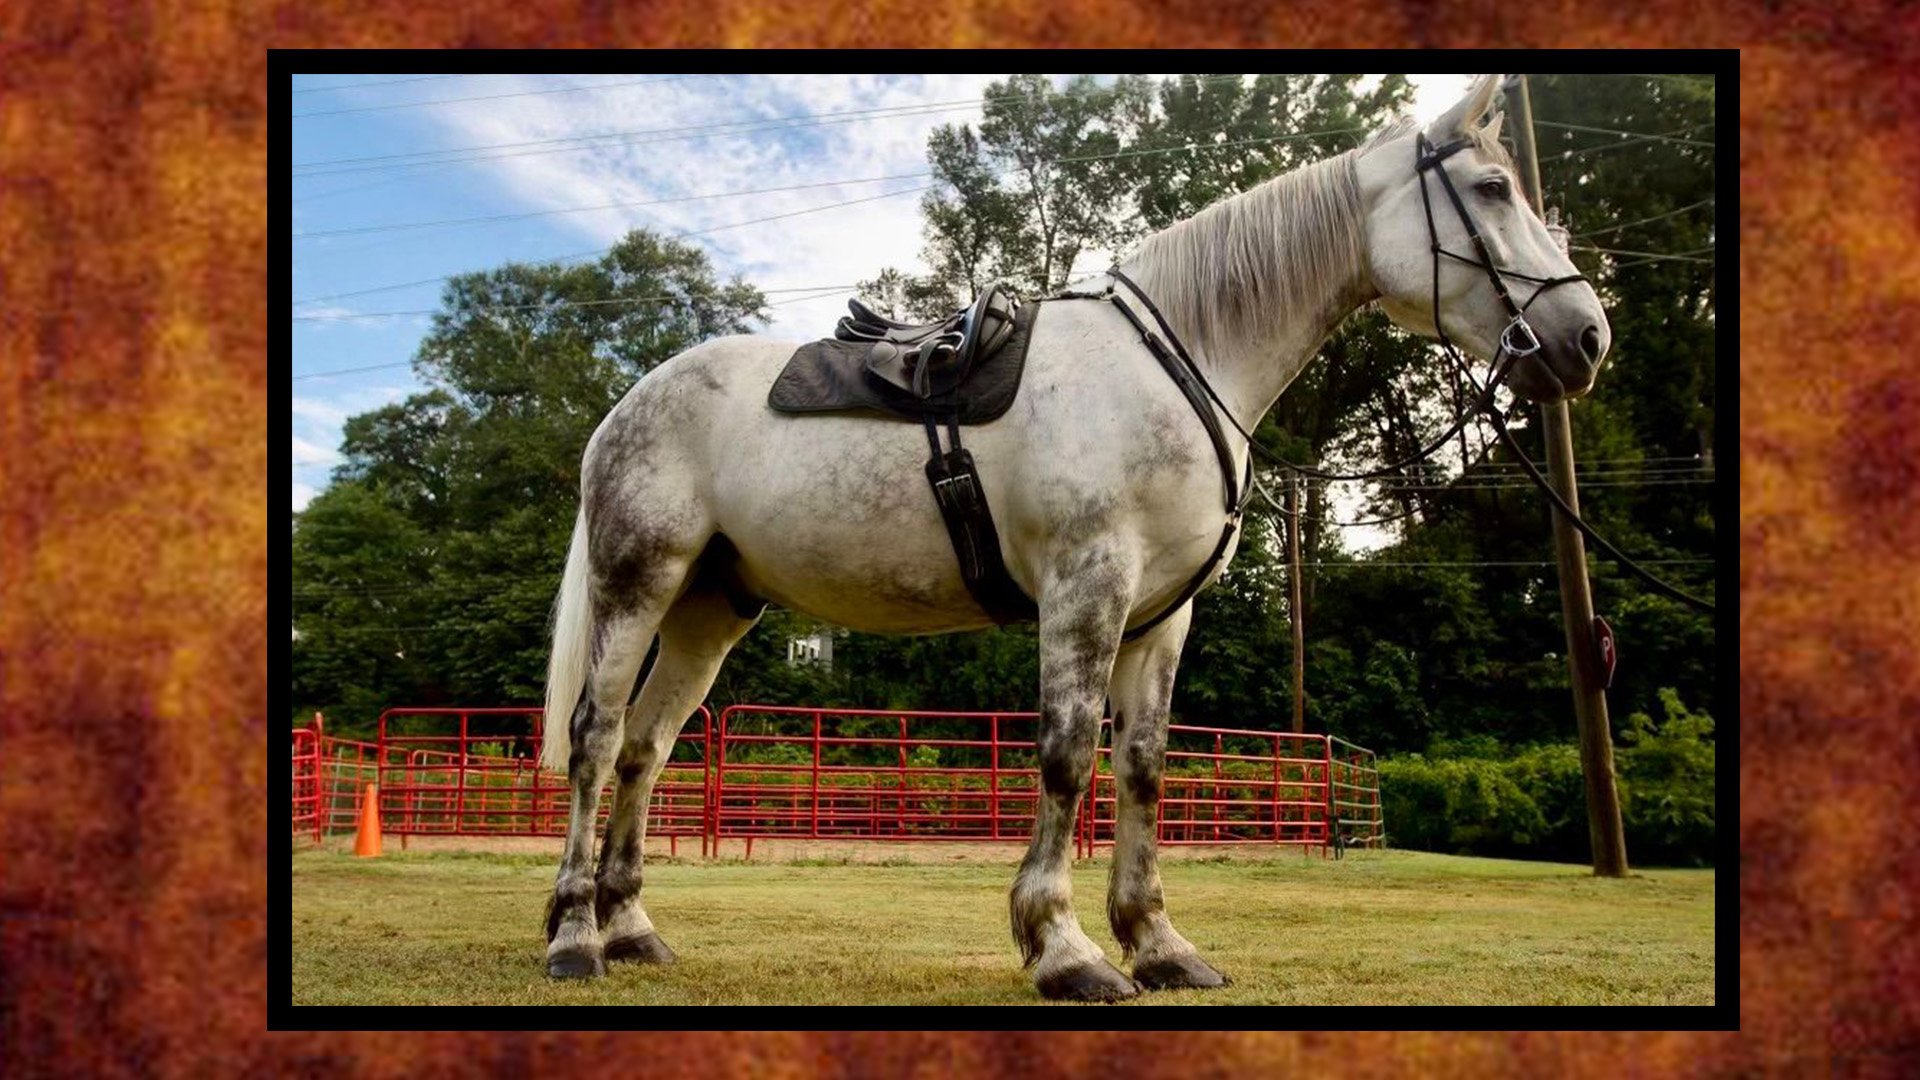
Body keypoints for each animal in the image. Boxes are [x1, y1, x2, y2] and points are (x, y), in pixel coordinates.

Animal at [535, 74, 1610, 1001]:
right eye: (1491, 189)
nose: (1587, 335)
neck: (1180, 359)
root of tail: (626, 405)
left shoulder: (1159, 619)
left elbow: (1141, 768)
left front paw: (1159, 943)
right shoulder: (1087, 587)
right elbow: (1064, 756)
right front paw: (1063, 947)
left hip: (709, 610)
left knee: (646, 748)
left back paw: (630, 930)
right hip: (640, 583)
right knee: (596, 740)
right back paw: (576, 935)